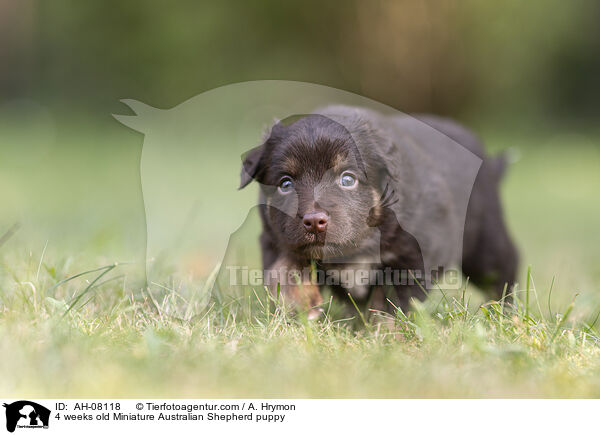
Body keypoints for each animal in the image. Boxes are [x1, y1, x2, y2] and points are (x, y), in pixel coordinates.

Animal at [241, 107, 516, 316]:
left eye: (348, 179)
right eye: (285, 184)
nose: (314, 221)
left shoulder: (413, 255)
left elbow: (390, 301)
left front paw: (384, 334)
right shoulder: (275, 238)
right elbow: (284, 268)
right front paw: (300, 302)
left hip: (485, 244)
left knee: (505, 269)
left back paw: (505, 313)